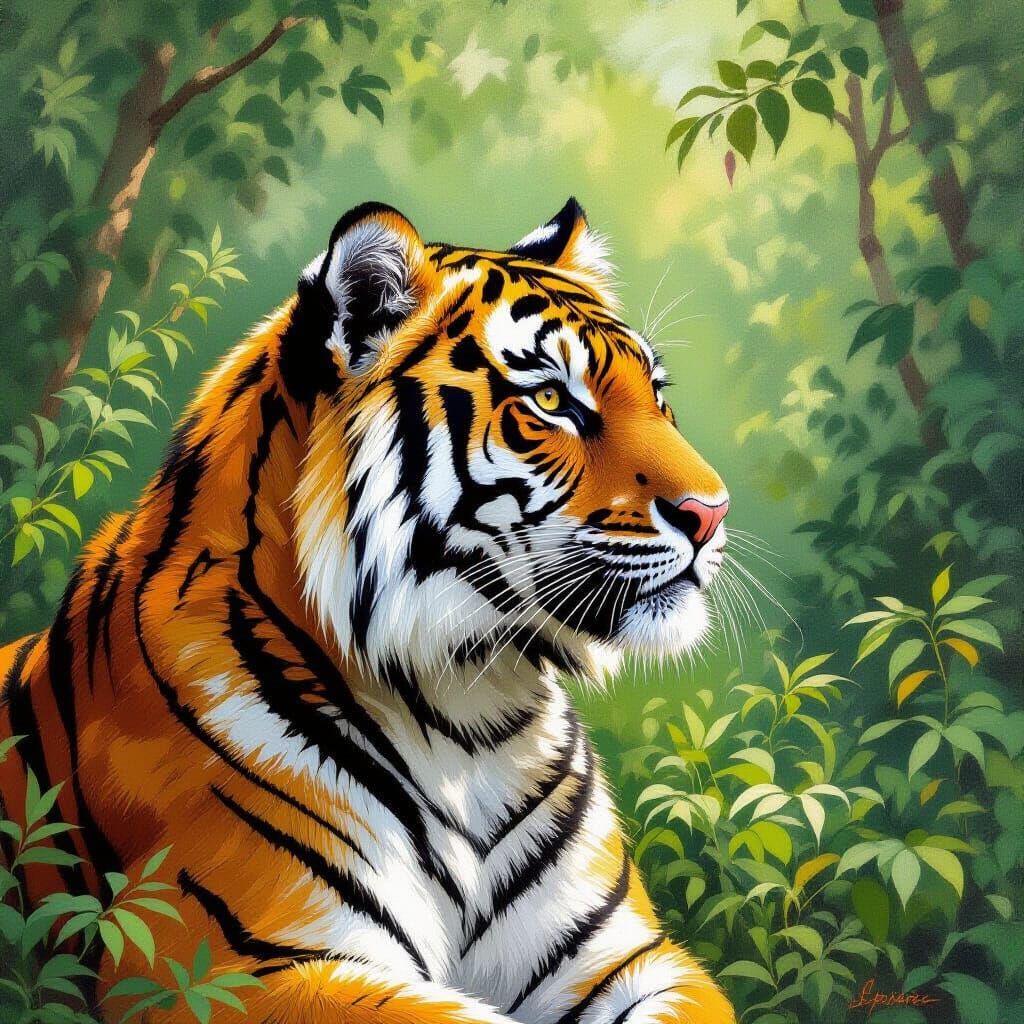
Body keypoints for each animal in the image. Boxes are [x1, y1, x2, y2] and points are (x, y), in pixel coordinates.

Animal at [0, 199, 735, 1024]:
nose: (711, 513)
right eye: (550, 400)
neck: (473, 709)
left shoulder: (630, 956)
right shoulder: (229, 968)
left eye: (658, 395)